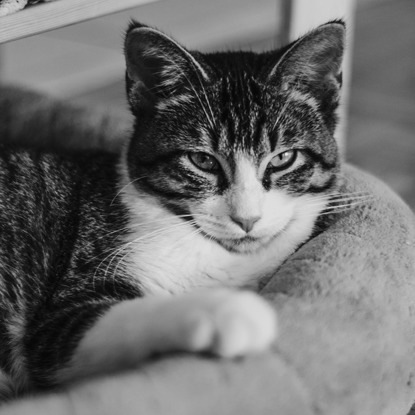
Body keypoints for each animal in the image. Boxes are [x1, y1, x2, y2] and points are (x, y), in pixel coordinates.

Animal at [0, 18, 344, 400]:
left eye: (284, 158)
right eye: (202, 160)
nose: (247, 218)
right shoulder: (63, 309)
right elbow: (118, 318)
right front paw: (229, 312)